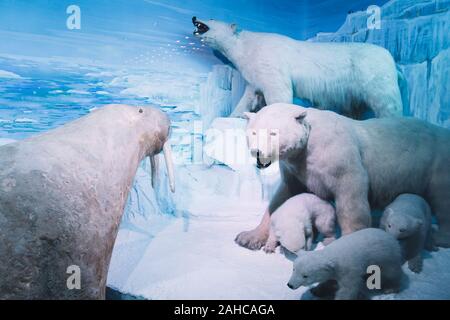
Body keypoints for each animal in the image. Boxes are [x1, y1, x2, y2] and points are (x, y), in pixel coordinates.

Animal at [192, 16, 402, 119]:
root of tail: (391, 58)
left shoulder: (269, 61)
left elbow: (278, 90)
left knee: (386, 101)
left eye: (211, 18)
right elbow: (250, 95)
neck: (246, 46)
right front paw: (234, 115)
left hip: (373, 72)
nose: (194, 17)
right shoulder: (253, 72)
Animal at [236, 104, 450, 249]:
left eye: (273, 133)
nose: (257, 152)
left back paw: (439, 238)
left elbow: (351, 195)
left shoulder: (339, 155)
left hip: (436, 164)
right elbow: (282, 197)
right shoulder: (296, 169)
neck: (310, 140)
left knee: (442, 198)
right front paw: (248, 237)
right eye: (253, 132)